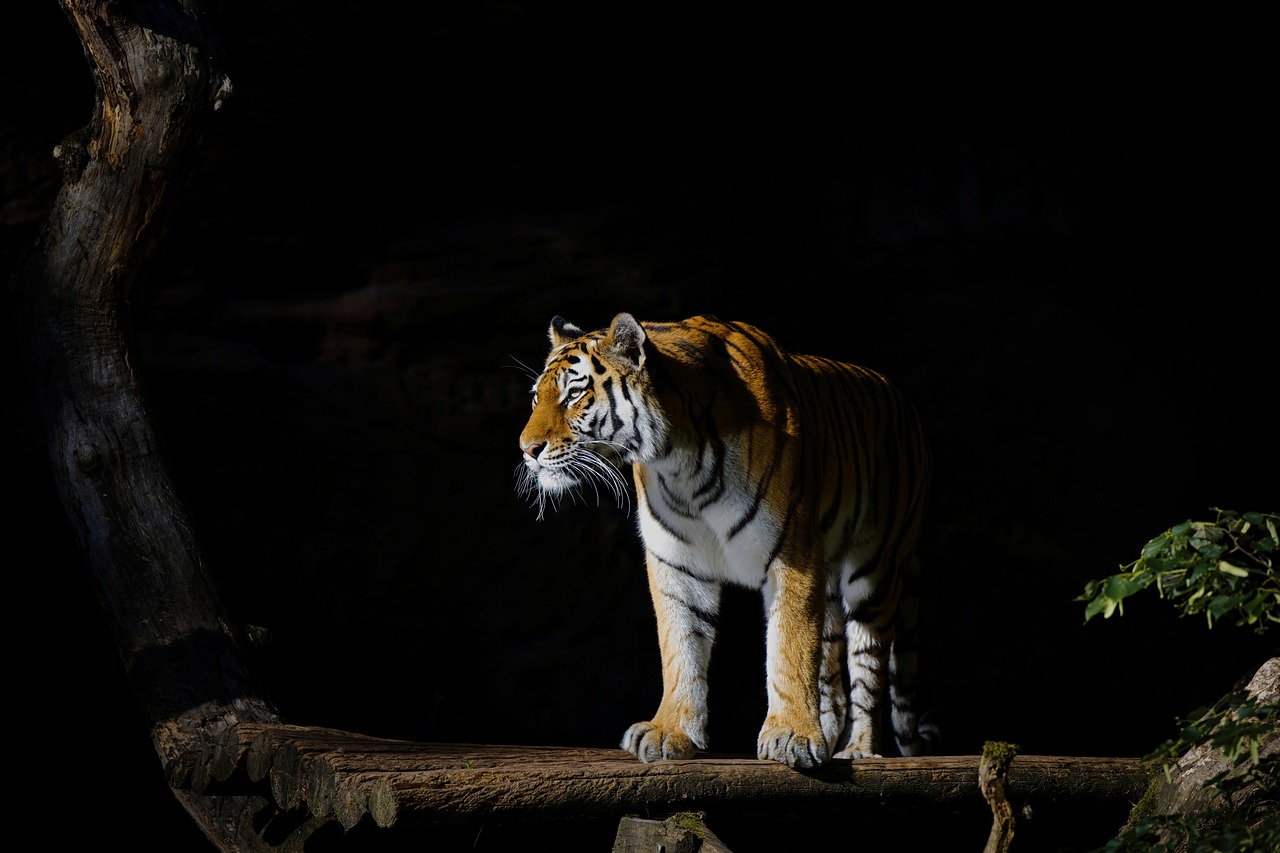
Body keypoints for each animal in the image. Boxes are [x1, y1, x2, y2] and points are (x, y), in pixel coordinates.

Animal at [516, 313, 932, 769]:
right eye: (536, 398)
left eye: (574, 394)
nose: (526, 449)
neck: (680, 463)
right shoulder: (676, 561)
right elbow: (680, 646)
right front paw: (670, 731)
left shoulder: (793, 552)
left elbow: (788, 647)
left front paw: (790, 735)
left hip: (873, 574)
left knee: (867, 670)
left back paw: (858, 749)